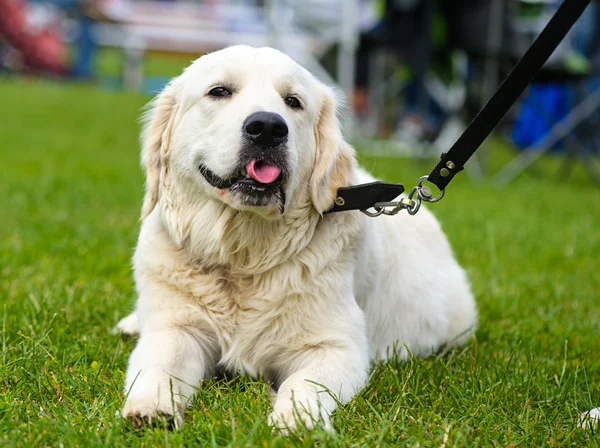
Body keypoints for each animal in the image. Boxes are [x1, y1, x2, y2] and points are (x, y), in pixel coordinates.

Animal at [117, 44, 478, 430]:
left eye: (293, 102)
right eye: (219, 91)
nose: (267, 128)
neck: (243, 257)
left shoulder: (335, 347)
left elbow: (302, 384)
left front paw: (295, 421)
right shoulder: (175, 328)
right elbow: (161, 364)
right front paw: (151, 406)